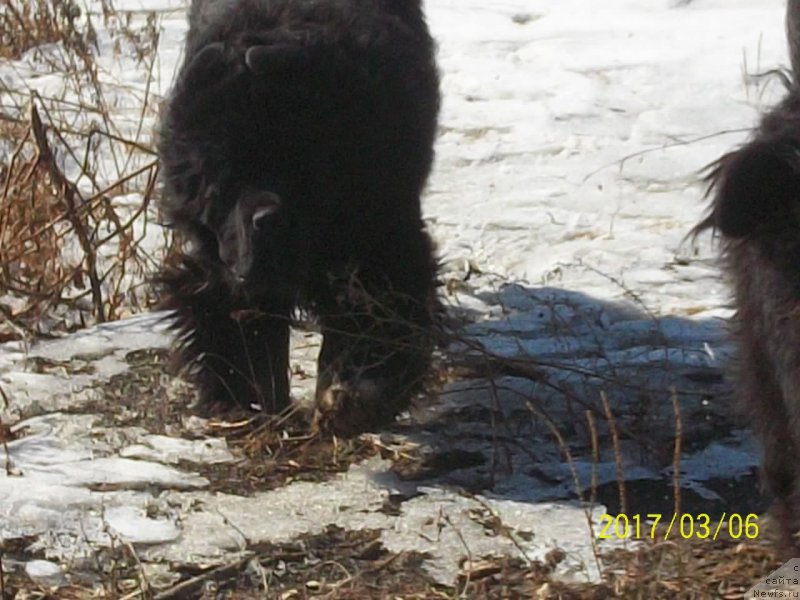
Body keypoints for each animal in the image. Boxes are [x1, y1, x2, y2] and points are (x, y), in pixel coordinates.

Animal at [159, 0, 440, 434]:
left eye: (298, 166)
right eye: (223, 181)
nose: (267, 219)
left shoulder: (378, 236)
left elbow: (377, 312)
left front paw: (352, 395)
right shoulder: (225, 263)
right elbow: (237, 323)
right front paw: (251, 402)